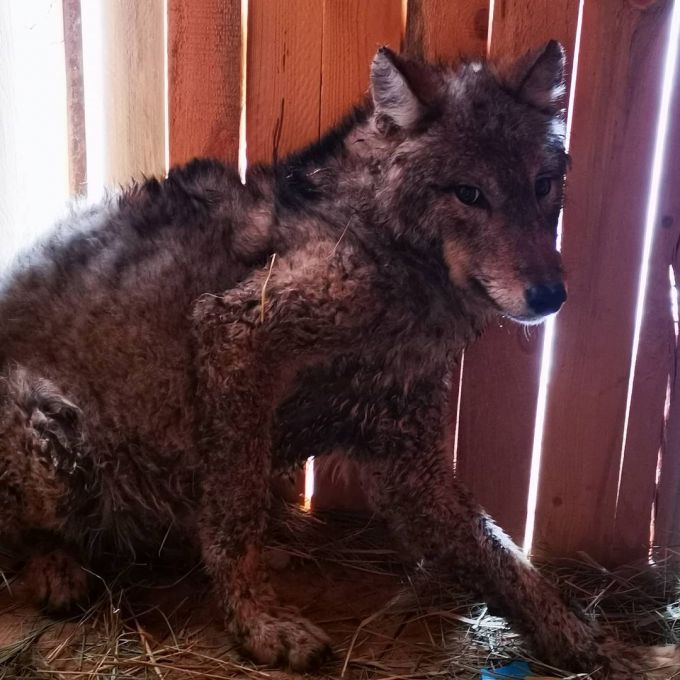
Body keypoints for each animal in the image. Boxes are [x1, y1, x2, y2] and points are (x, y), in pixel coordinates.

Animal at [0, 42, 676, 676]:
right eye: (469, 194)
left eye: (541, 185)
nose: (550, 295)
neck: (388, 250)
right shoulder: (234, 330)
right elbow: (235, 517)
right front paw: (257, 623)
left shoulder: (410, 461)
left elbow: (507, 562)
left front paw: (595, 643)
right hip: (53, 431)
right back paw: (57, 572)